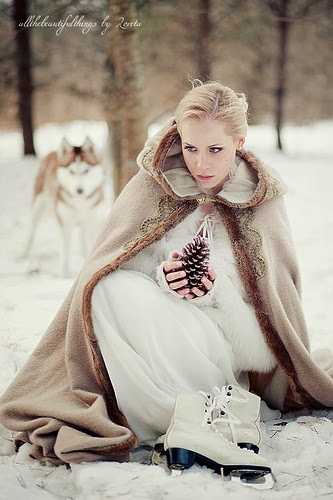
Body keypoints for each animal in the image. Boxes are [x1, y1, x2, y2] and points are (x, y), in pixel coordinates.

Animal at [21, 137, 104, 278]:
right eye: (71, 171)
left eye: (86, 171)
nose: (79, 190)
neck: (79, 203)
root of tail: (54, 152)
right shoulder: (64, 223)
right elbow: (65, 252)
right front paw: (63, 275)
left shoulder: (93, 220)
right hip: (38, 206)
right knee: (31, 229)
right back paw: (22, 253)